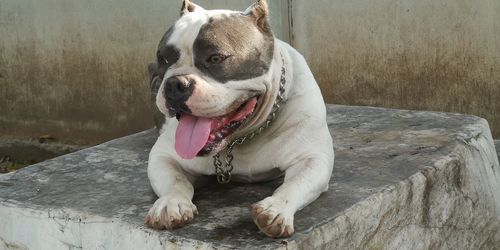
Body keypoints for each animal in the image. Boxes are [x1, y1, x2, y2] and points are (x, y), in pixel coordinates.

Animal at [145, 0, 334, 238]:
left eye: (215, 58)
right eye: (163, 58)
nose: (175, 84)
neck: (241, 139)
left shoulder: (312, 157)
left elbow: (294, 184)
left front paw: (275, 208)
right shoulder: (163, 155)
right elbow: (176, 181)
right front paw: (171, 203)